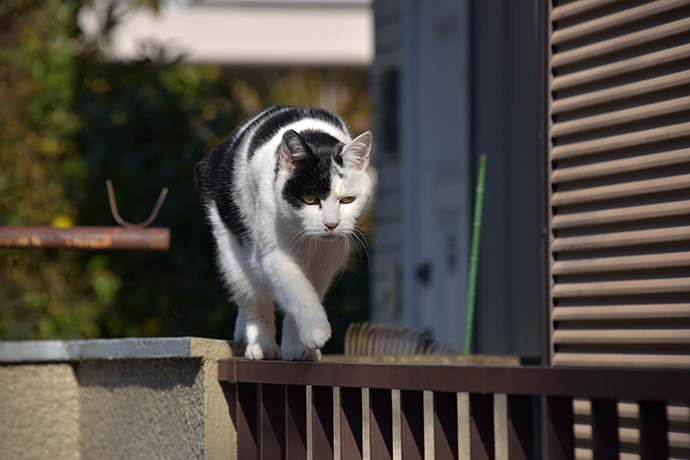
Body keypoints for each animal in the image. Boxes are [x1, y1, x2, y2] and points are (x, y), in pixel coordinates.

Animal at [194, 106, 370, 362]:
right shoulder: (276, 255)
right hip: (232, 251)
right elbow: (299, 292)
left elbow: (309, 291)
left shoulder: (325, 261)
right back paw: (260, 345)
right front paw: (316, 330)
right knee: (253, 300)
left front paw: (299, 347)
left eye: (347, 200)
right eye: (309, 198)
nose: (331, 224)